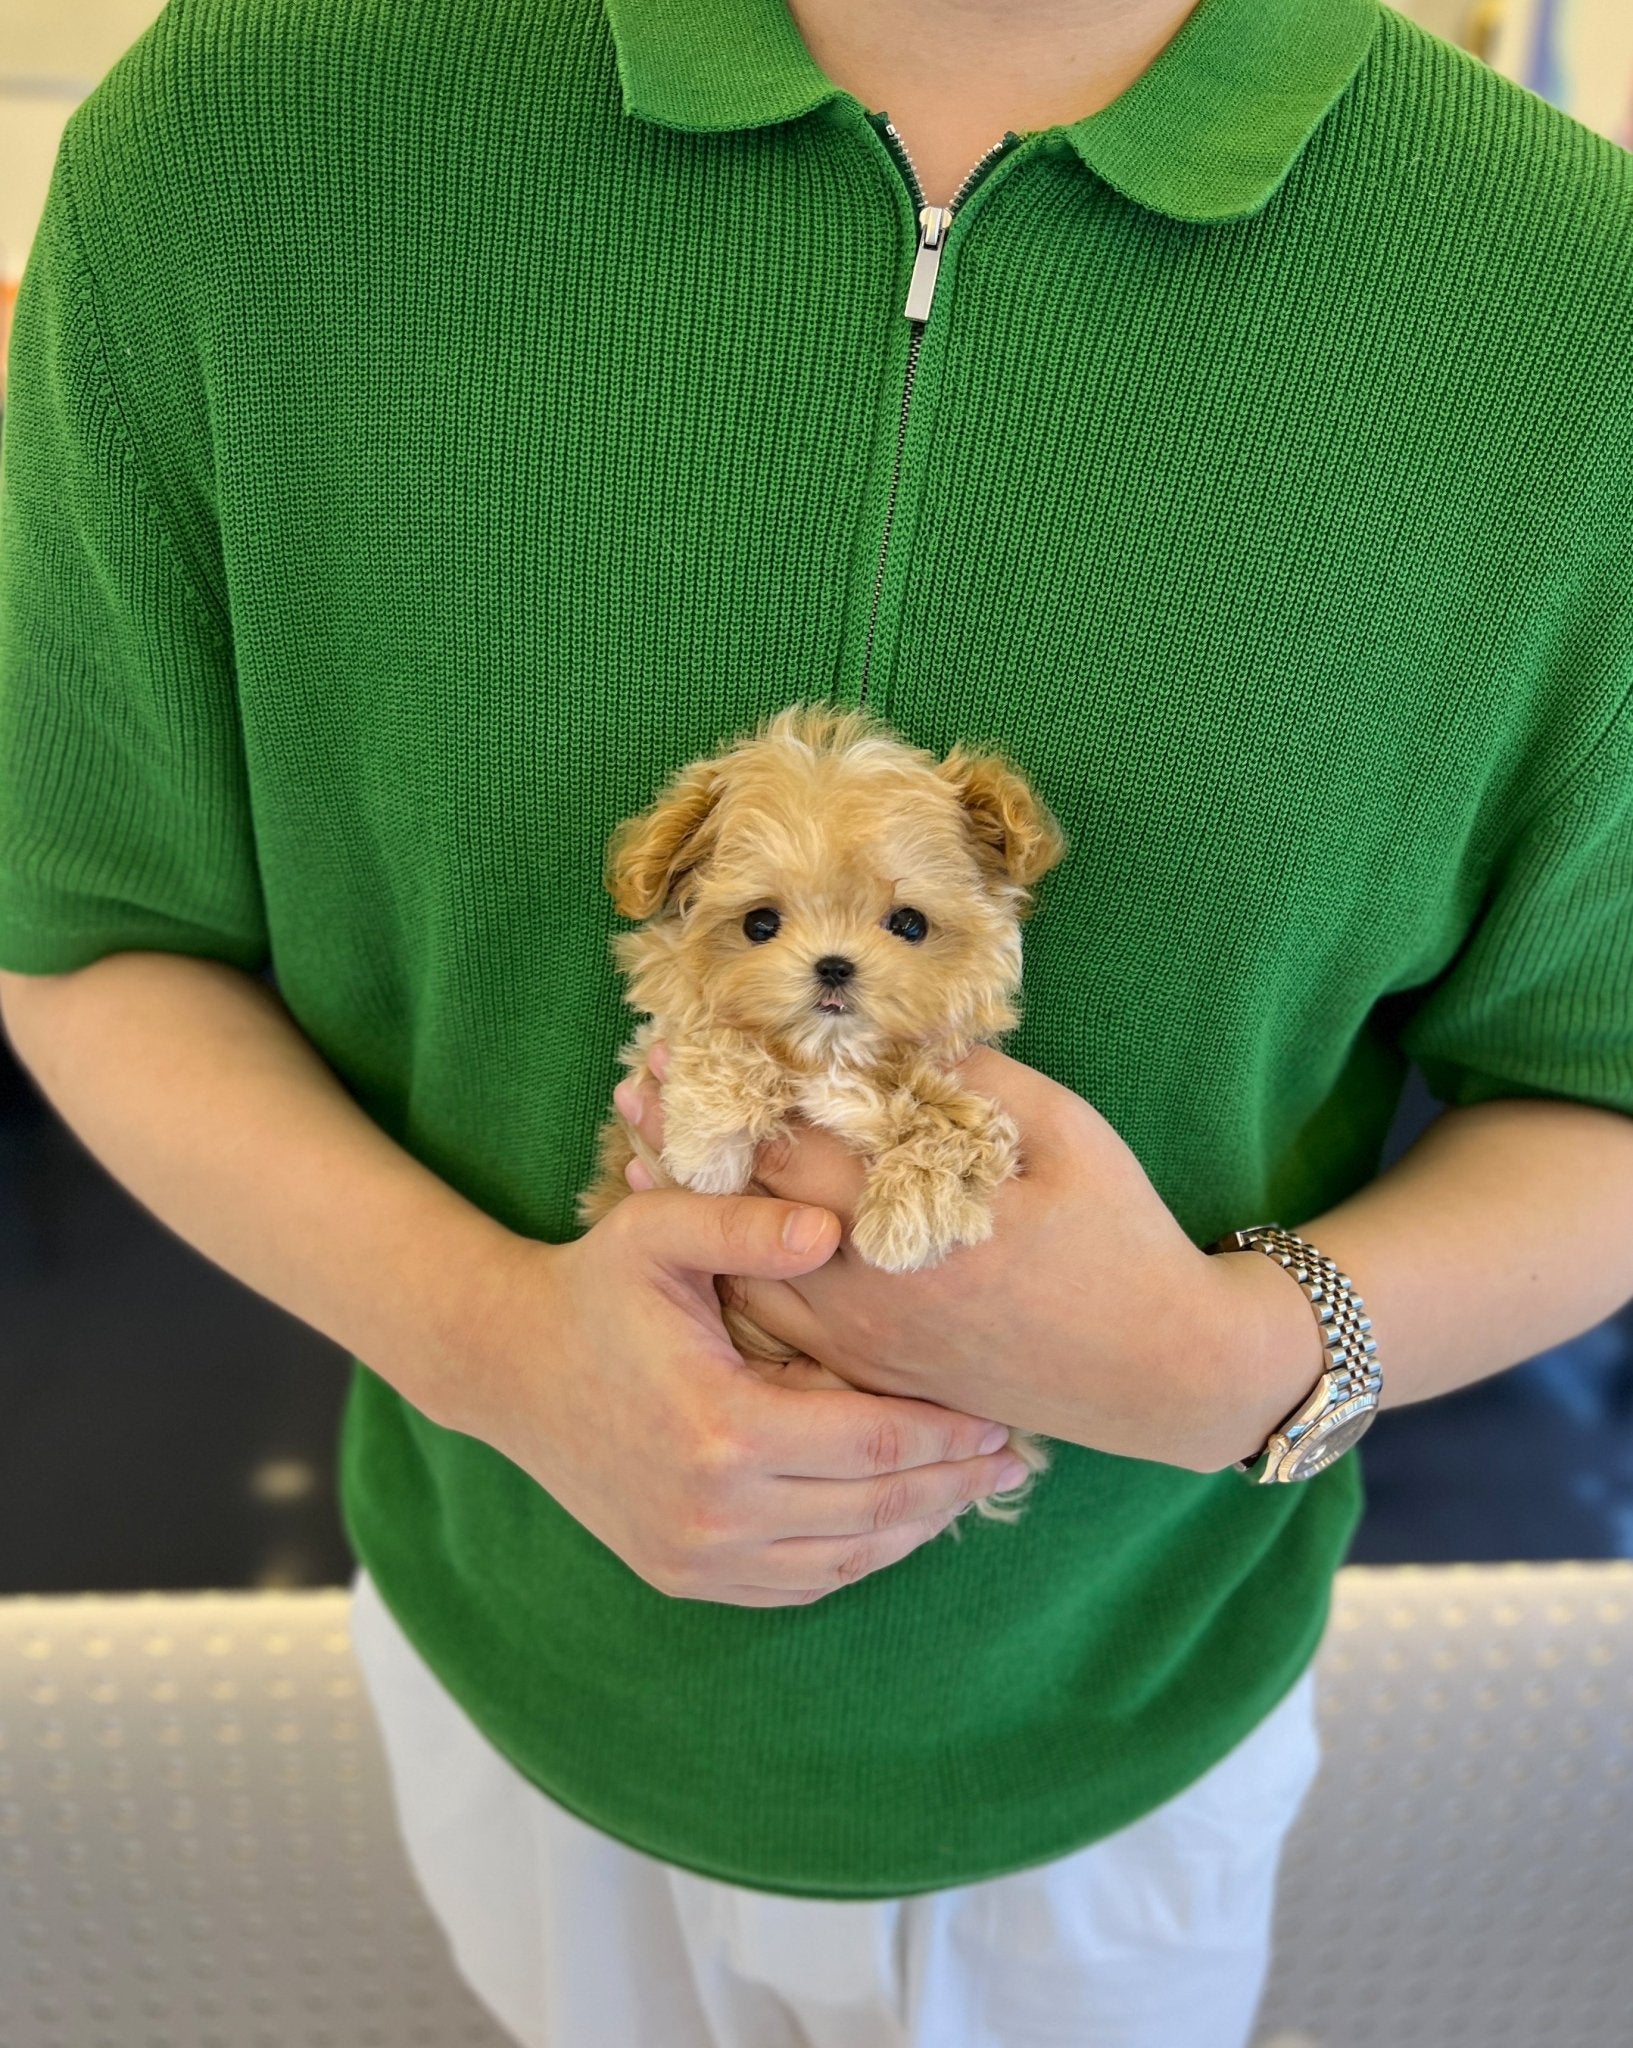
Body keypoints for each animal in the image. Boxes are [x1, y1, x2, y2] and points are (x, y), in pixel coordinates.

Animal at [577, 704, 1065, 1523]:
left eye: (908, 924)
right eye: (759, 924)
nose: (834, 965)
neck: (829, 1056)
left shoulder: (980, 1112)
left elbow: (948, 1127)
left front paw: (906, 1219)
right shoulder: (662, 1052)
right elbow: (718, 1042)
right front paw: (710, 1134)